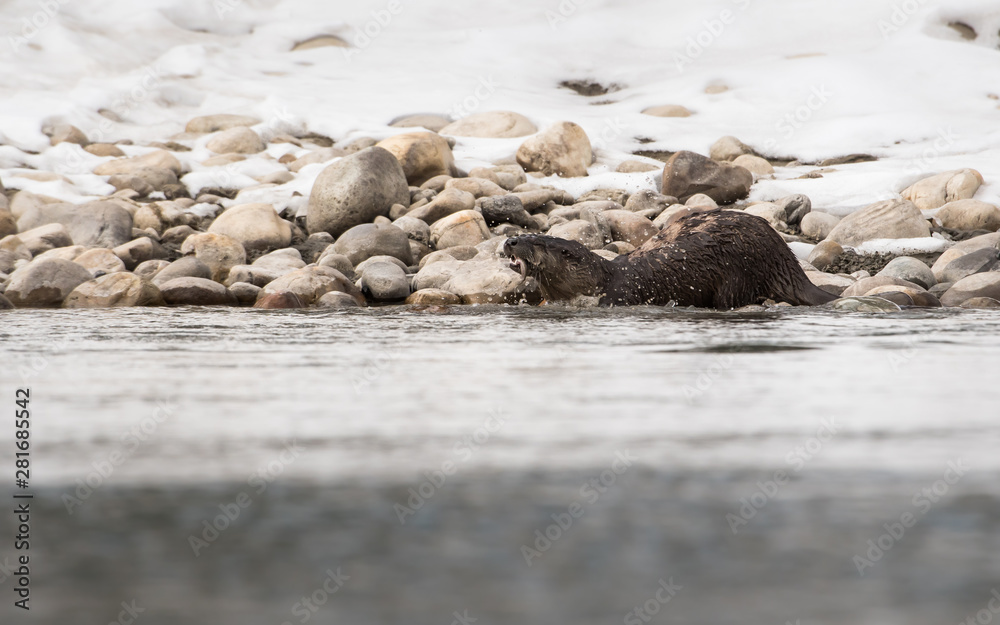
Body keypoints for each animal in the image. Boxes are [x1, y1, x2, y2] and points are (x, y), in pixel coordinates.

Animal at [504, 208, 840, 308]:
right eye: (521, 233)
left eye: (536, 241)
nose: (510, 240)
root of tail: (783, 255)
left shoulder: (617, 296)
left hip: (739, 272)